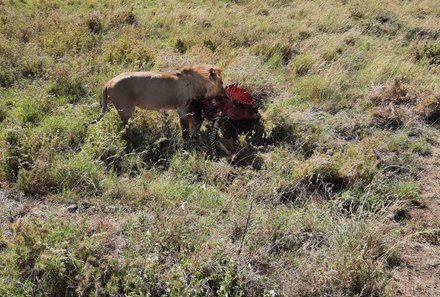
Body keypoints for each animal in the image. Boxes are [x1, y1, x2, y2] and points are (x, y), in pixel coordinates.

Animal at [91, 64, 225, 138]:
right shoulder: (182, 108)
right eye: (222, 83)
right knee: (126, 124)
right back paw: (134, 138)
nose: (225, 93)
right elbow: (185, 126)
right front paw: (187, 139)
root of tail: (108, 82)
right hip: (126, 109)